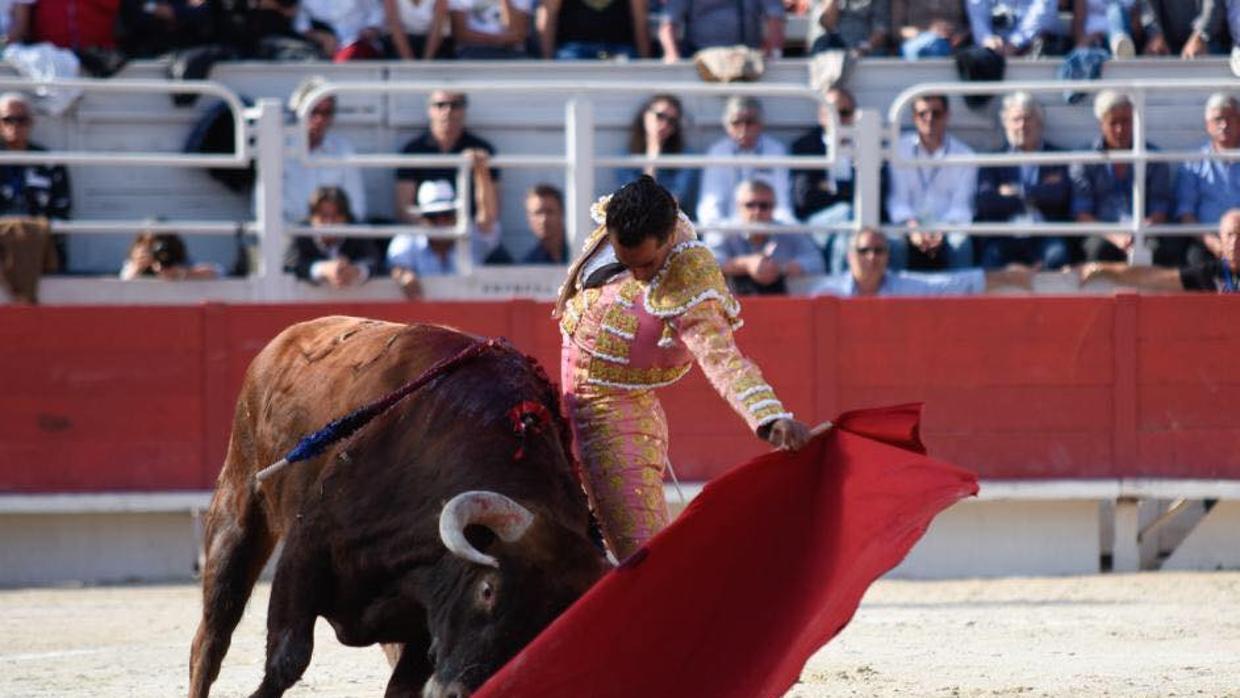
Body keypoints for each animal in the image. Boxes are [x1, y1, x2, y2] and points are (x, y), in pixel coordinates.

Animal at [188, 317, 610, 698]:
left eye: (546, 626)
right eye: (488, 590)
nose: (456, 692)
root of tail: (287, 337)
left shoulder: (426, 620)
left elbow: (403, 686)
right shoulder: (308, 545)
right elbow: (288, 659)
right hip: (237, 509)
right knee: (210, 639)